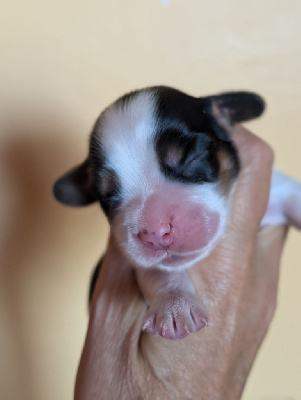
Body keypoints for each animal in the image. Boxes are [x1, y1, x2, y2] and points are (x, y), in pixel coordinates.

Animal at [52, 86, 300, 340]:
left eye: (190, 157)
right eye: (108, 195)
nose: (154, 233)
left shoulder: (277, 190)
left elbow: (293, 196)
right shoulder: (139, 263)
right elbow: (162, 274)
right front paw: (175, 306)